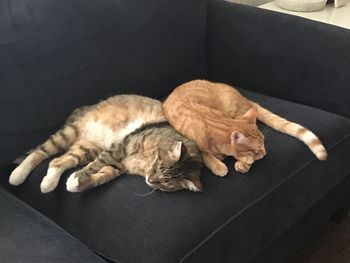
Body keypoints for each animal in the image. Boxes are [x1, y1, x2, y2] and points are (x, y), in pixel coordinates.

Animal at [8, 95, 202, 194]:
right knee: (40, 153)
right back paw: (17, 175)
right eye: (158, 167)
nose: (150, 180)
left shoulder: (119, 166)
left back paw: (48, 183)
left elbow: (102, 176)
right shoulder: (120, 147)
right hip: (70, 133)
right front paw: (77, 176)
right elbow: (95, 166)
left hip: (88, 148)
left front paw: (76, 183)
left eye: (166, 183)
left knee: (57, 162)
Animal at [163, 79, 326, 176]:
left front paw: (243, 162)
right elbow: (206, 155)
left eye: (263, 145)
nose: (265, 153)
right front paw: (219, 165)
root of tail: (245, 99)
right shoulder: (191, 143)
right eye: (257, 150)